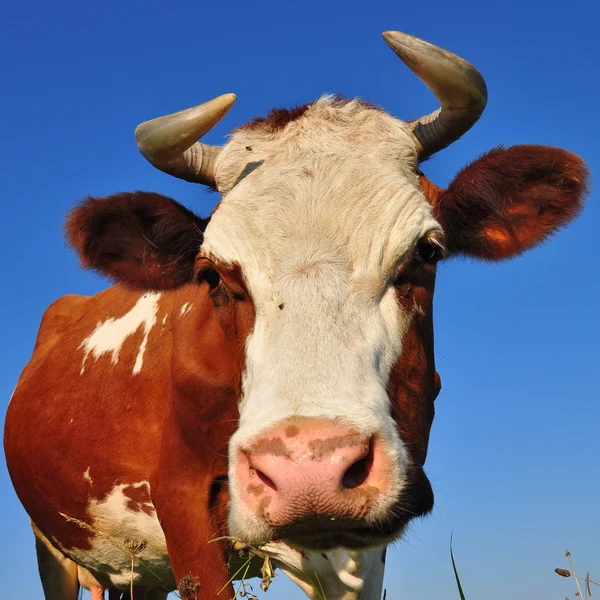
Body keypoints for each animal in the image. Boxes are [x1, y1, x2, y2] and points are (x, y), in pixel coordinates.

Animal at [3, 30, 584, 600]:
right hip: (53, 549)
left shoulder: (364, 546)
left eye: (427, 251)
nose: (309, 473)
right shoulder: (182, 503)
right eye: (211, 276)